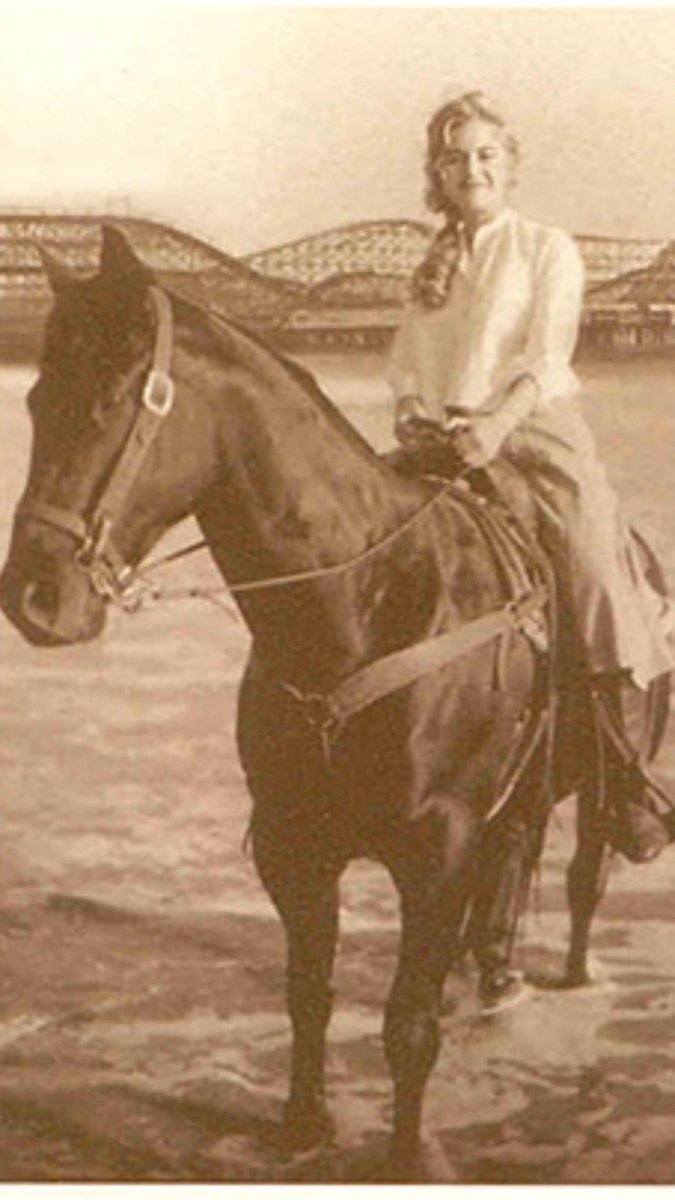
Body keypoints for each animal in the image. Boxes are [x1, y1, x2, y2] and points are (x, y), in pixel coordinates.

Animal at [0, 225, 662, 1179]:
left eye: (116, 399)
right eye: (39, 396)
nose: (35, 597)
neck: (366, 601)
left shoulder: (435, 848)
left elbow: (406, 1024)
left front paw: (406, 1155)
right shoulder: (293, 845)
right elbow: (307, 992)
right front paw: (303, 1124)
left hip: (598, 788)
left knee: (584, 878)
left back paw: (569, 970)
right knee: (514, 864)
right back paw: (494, 977)